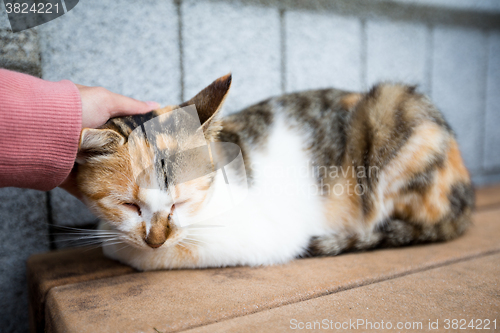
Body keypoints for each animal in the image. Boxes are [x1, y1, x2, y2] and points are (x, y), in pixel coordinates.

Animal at [76, 74, 474, 270]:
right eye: (128, 205)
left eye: (181, 203)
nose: (155, 238)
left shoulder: (261, 235)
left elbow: (164, 252)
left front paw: (125, 248)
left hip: (394, 110)